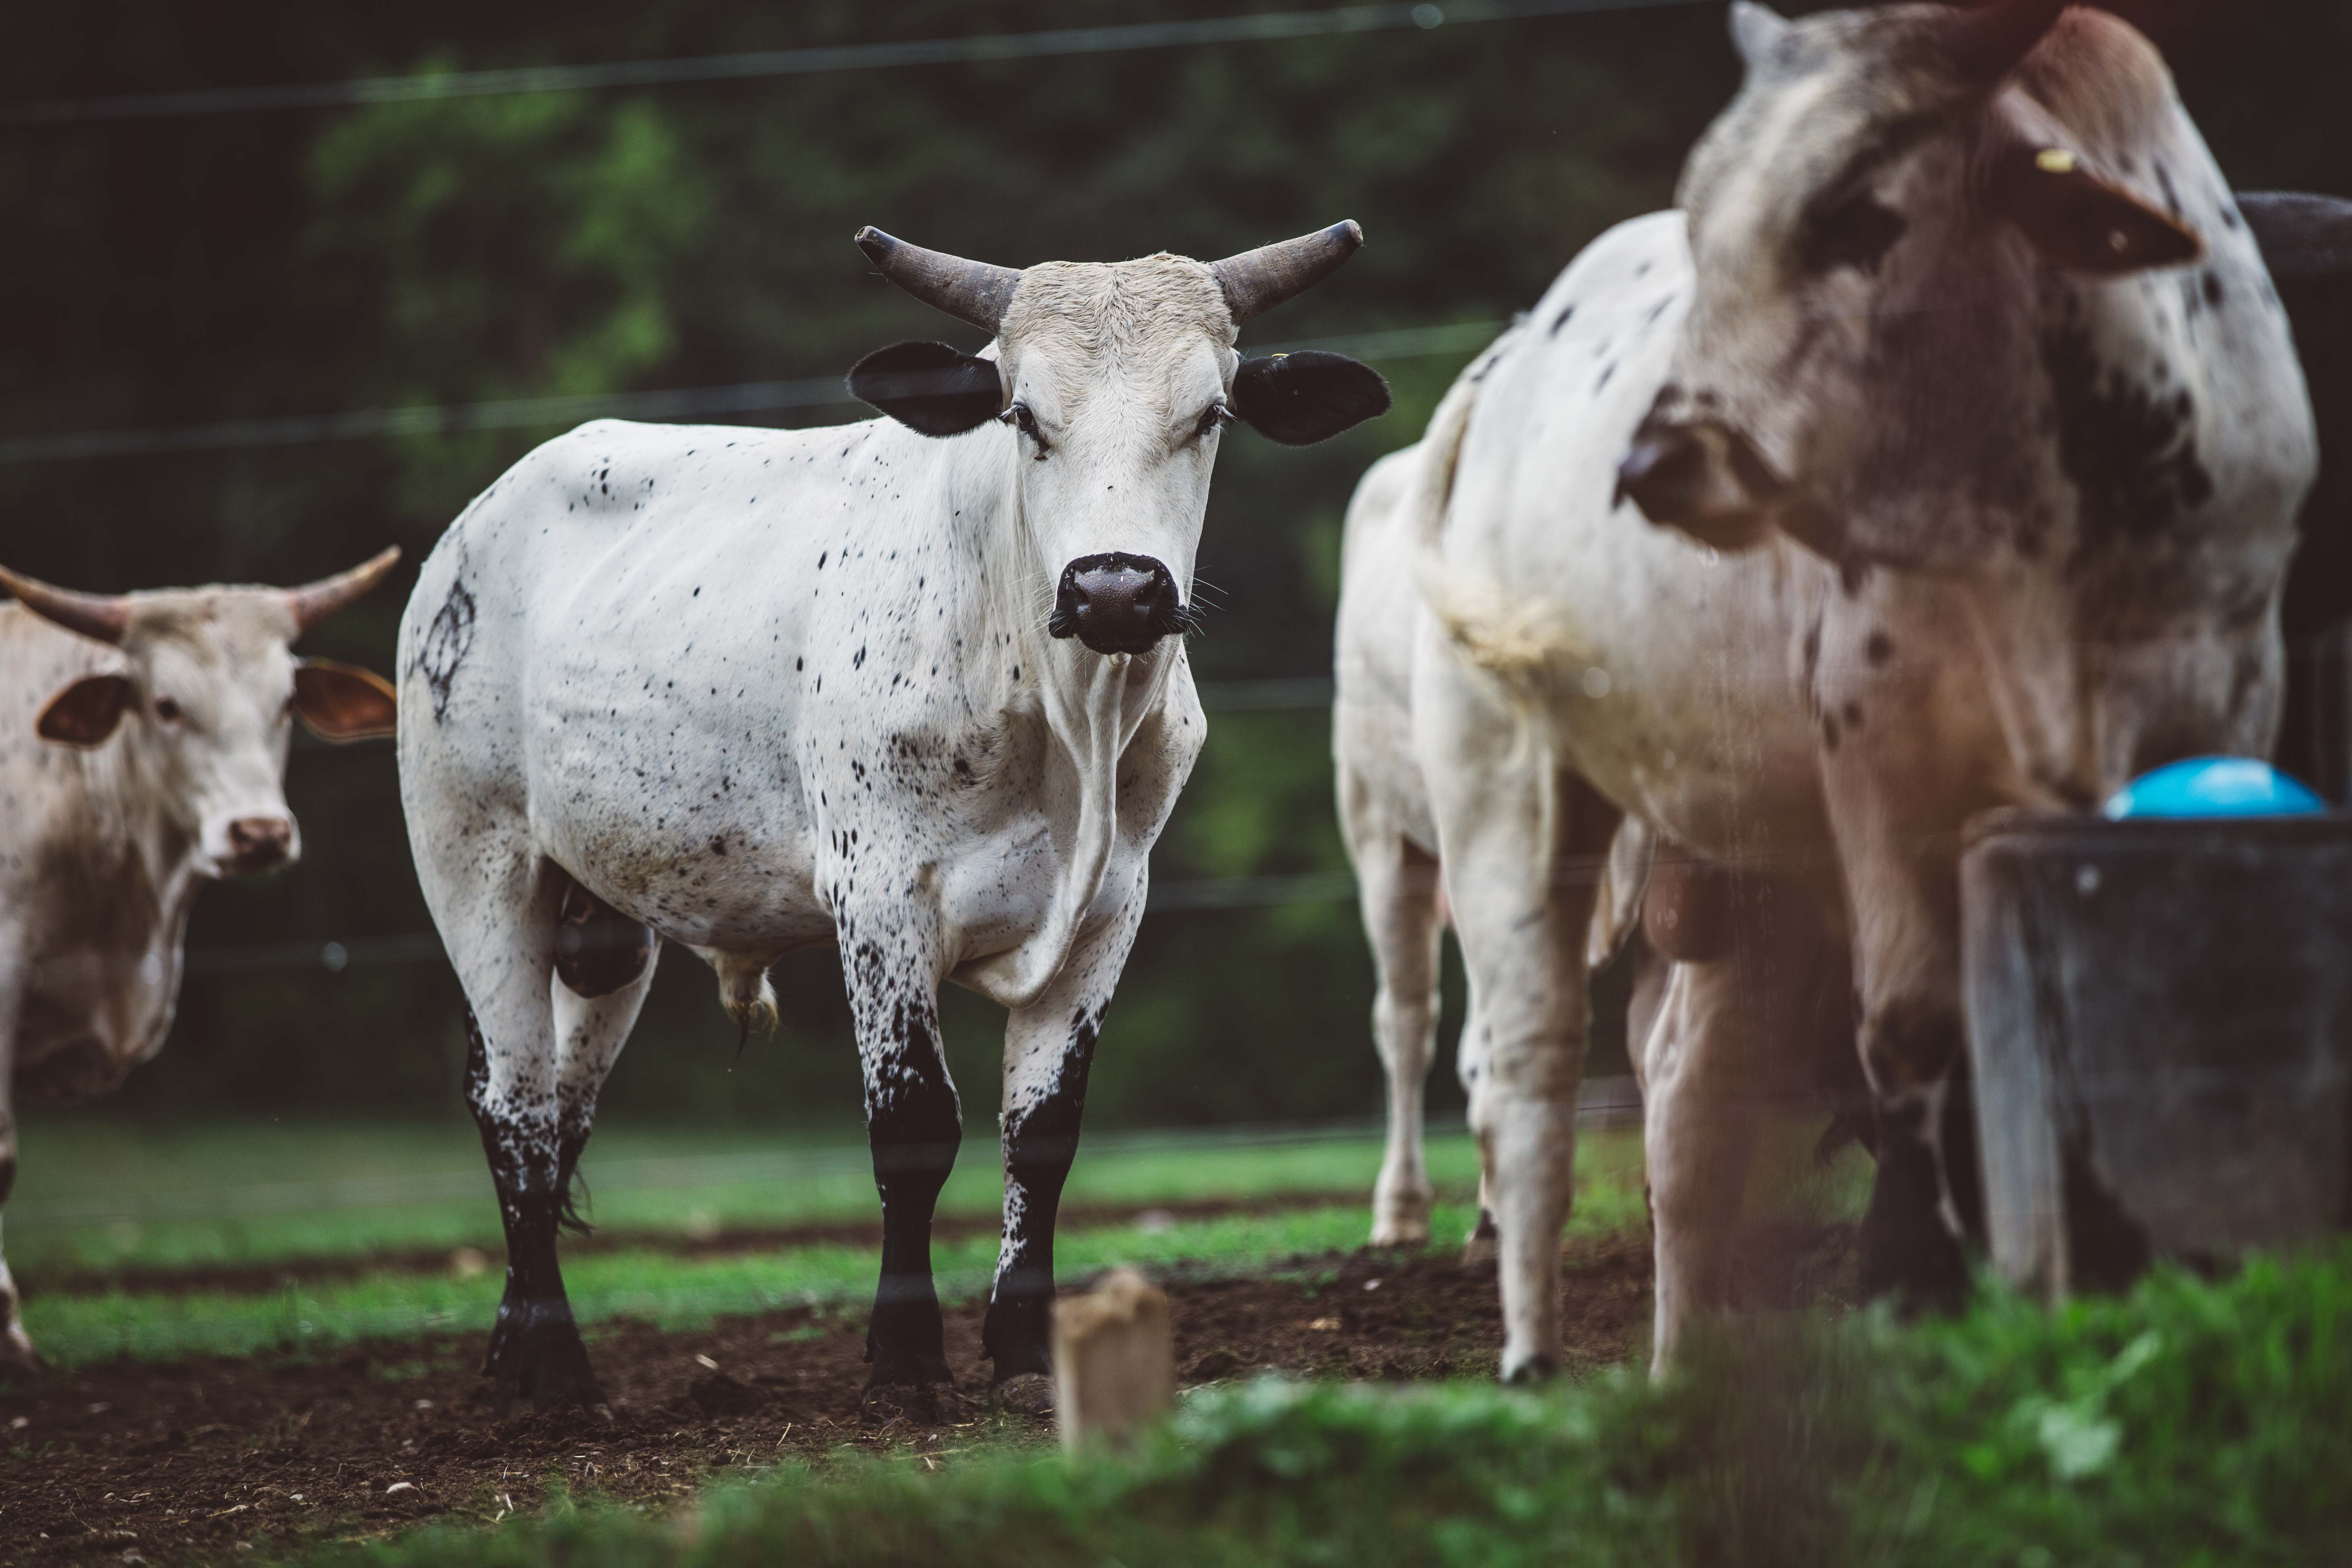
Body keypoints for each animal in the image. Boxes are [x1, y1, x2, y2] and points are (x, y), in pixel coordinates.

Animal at [395, 223, 1390, 1409]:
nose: (1114, 591)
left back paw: (513, 1352)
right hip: (477, 865)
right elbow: (914, 1125)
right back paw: (553, 1367)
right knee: (515, 1107)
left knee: (550, 1106)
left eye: (1210, 414)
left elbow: (1042, 1130)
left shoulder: (1109, 909)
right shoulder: (880, 900)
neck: (1061, 718)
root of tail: (473, 525)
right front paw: (907, 1355)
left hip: (601, 922)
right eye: (1022, 415)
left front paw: (1024, 1345)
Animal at [1346, 0, 2324, 1381]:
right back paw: (1533, 1353)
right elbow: (1913, 1022)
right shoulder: (1880, 749)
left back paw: (1686, 1368)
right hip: (1505, 796)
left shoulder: (2218, 694)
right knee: (1524, 1062)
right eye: (1709, 215)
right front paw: (1913, 1284)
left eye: (1862, 217)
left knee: (1694, 1108)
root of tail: (1496, 372)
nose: (1660, 456)